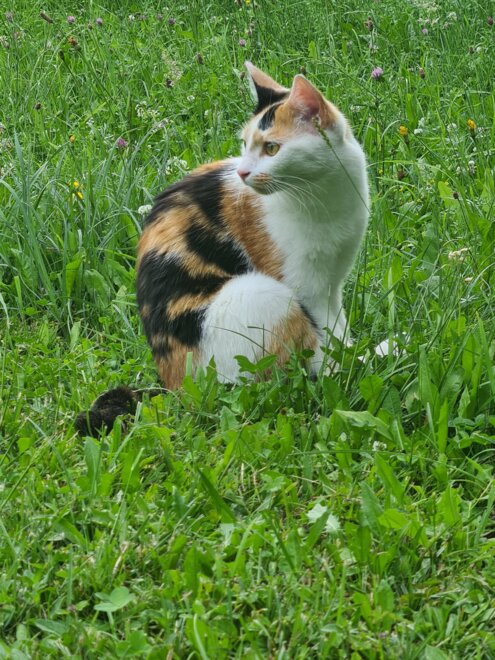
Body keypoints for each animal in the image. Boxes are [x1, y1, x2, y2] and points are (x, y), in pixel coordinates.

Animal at [76, 62, 369, 436]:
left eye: (271, 149)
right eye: (245, 144)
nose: (243, 172)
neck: (325, 193)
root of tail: (176, 388)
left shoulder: (333, 281)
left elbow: (339, 326)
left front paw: (353, 352)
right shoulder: (307, 285)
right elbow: (325, 333)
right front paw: (349, 366)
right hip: (261, 295)